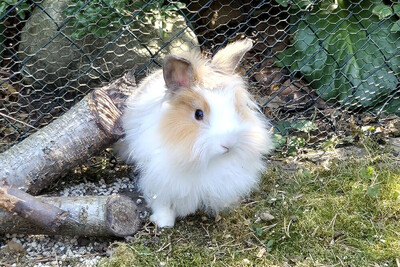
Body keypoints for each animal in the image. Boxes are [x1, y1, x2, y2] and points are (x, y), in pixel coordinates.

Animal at [119, 39, 274, 228]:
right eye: (198, 114)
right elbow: (162, 202)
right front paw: (164, 222)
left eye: (236, 108)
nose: (228, 144)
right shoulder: (158, 178)